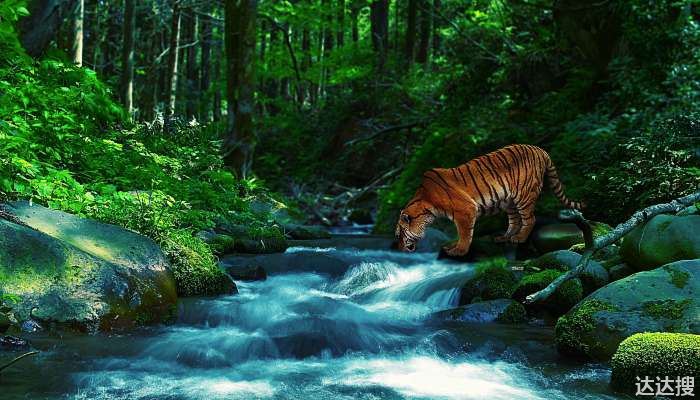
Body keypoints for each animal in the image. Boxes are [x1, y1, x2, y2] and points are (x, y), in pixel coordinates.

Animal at [394, 144, 584, 256]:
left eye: (399, 234)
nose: (399, 249)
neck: (426, 206)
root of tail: (540, 149)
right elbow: (460, 233)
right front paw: (452, 246)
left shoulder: (466, 210)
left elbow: (465, 233)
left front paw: (459, 251)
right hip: (509, 201)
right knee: (514, 221)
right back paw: (504, 237)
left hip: (524, 195)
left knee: (530, 219)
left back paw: (519, 238)